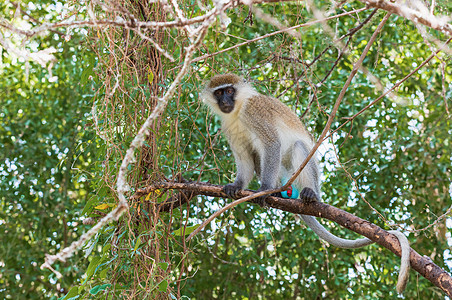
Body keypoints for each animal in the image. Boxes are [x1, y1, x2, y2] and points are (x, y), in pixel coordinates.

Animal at [200, 72, 410, 292]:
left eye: (229, 90)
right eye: (219, 93)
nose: (225, 101)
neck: (238, 110)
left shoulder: (255, 113)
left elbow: (272, 144)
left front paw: (264, 189)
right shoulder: (229, 128)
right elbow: (244, 158)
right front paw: (237, 186)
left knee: (299, 147)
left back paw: (308, 194)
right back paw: (278, 193)